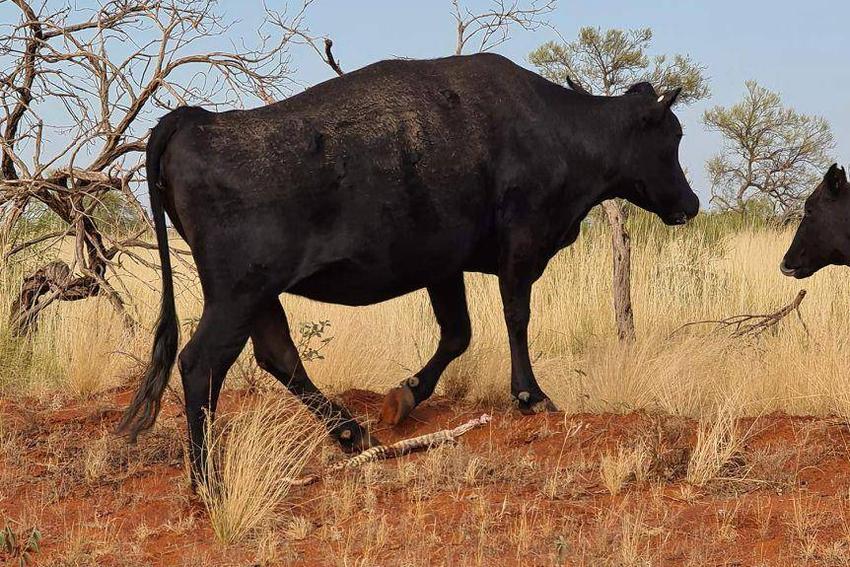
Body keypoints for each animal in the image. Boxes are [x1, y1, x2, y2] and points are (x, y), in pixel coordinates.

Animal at [121, 53, 704, 482]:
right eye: (672, 137)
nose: (691, 203)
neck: (559, 130)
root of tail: (197, 119)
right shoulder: (521, 246)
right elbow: (516, 317)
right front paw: (530, 395)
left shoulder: (443, 265)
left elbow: (457, 334)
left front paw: (403, 397)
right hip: (237, 294)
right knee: (201, 363)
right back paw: (206, 480)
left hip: (258, 297)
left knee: (278, 358)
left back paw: (353, 434)